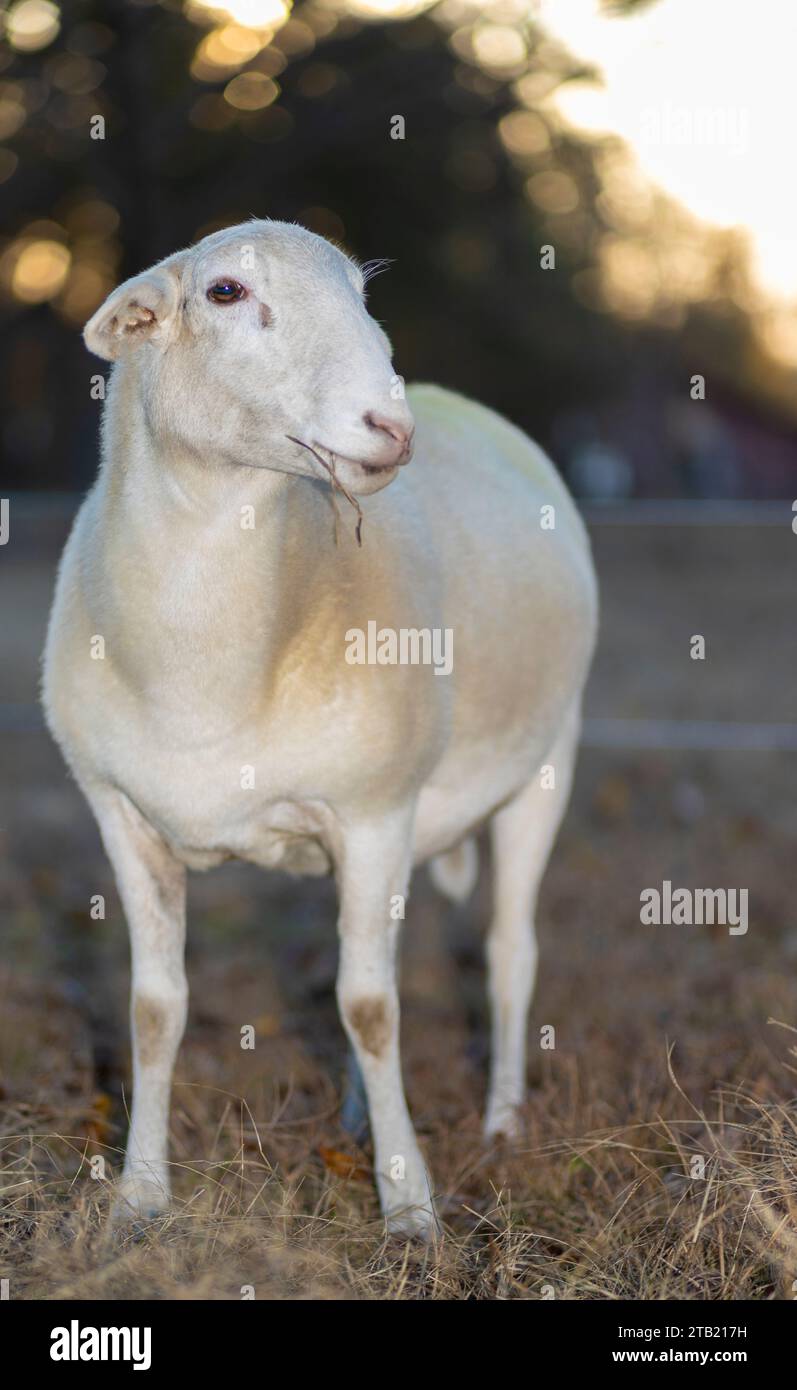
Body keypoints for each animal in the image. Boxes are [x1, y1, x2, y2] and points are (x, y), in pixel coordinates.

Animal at [42, 219, 598, 1238]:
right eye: (223, 292)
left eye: (362, 294)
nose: (392, 427)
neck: (207, 676)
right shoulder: (122, 815)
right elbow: (155, 1008)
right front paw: (138, 1200)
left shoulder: (376, 811)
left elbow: (373, 1008)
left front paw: (409, 1207)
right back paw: (353, 1121)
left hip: (547, 758)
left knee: (506, 952)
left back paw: (500, 1122)